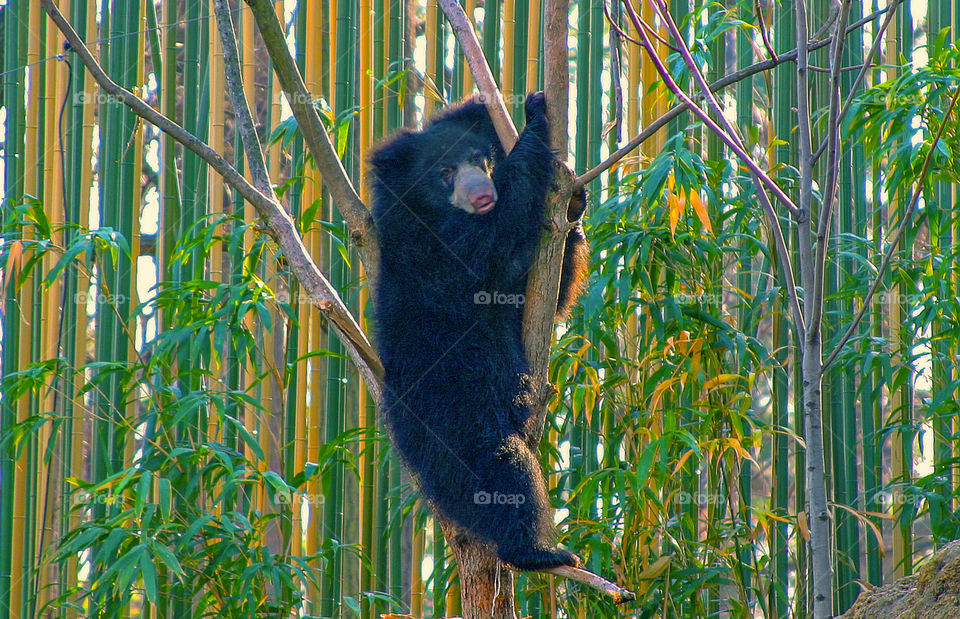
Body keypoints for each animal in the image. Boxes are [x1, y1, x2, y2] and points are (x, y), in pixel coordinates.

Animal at [372, 92, 588, 572]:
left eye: (479, 158)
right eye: (444, 172)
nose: (482, 193)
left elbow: (547, 291)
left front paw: (575, 203)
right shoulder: (430, 251)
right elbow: (494, 235)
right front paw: (535, 115)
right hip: (455, 400)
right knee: (499, 466)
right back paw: (540, 551)